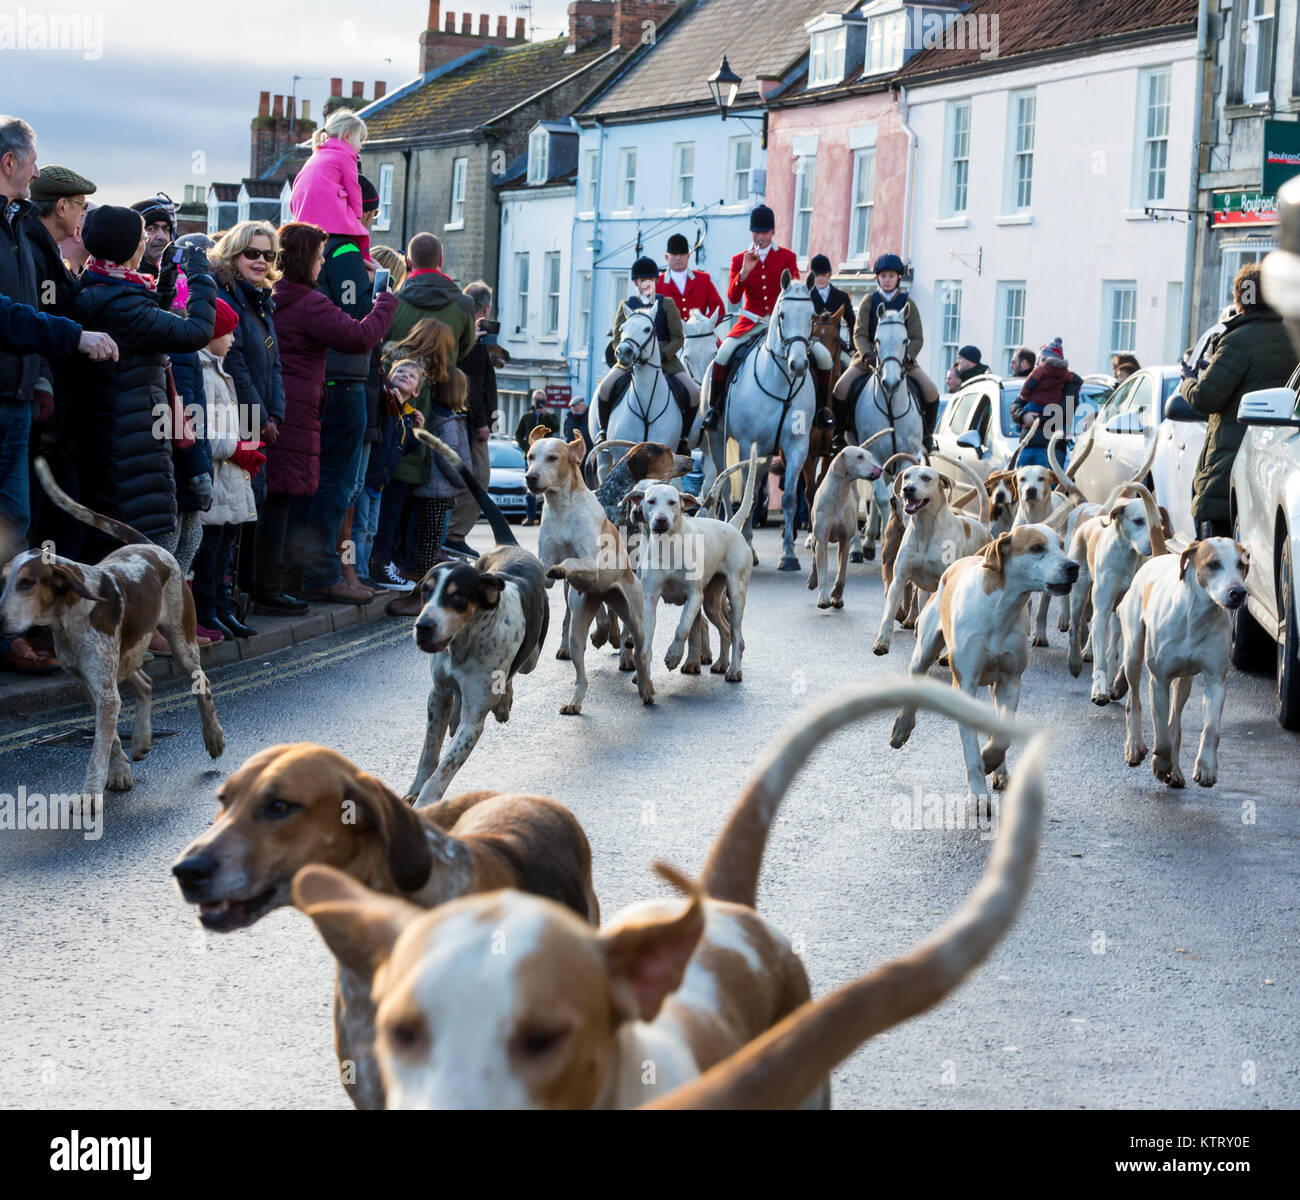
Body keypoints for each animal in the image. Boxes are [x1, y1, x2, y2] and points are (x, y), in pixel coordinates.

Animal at [707, 271, 816, 572]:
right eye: (783, 315)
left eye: (812, 315)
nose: (798, 365)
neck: (781, 383)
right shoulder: (747, 444)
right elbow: (749, 494)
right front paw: (749, 546)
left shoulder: (798, 447)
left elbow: (789, 497)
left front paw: (788, 554)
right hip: (717, 441)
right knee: (725, 486)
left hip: (767, 454)